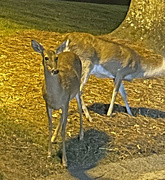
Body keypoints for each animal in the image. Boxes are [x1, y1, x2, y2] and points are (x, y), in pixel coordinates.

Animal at [31, 39, 84, 167]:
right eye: (45, 57)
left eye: (56, 58)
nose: (55, 70)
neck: (56, 95)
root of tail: (72, 53)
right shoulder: (48, 105)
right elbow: (50, 126)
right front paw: (49, 153)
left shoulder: (65, 103)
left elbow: (64, 130)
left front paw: (64, 160)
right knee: (61, 117)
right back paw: (54, 137)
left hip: (76, 90)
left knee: (80, 108)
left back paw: (81, 135)